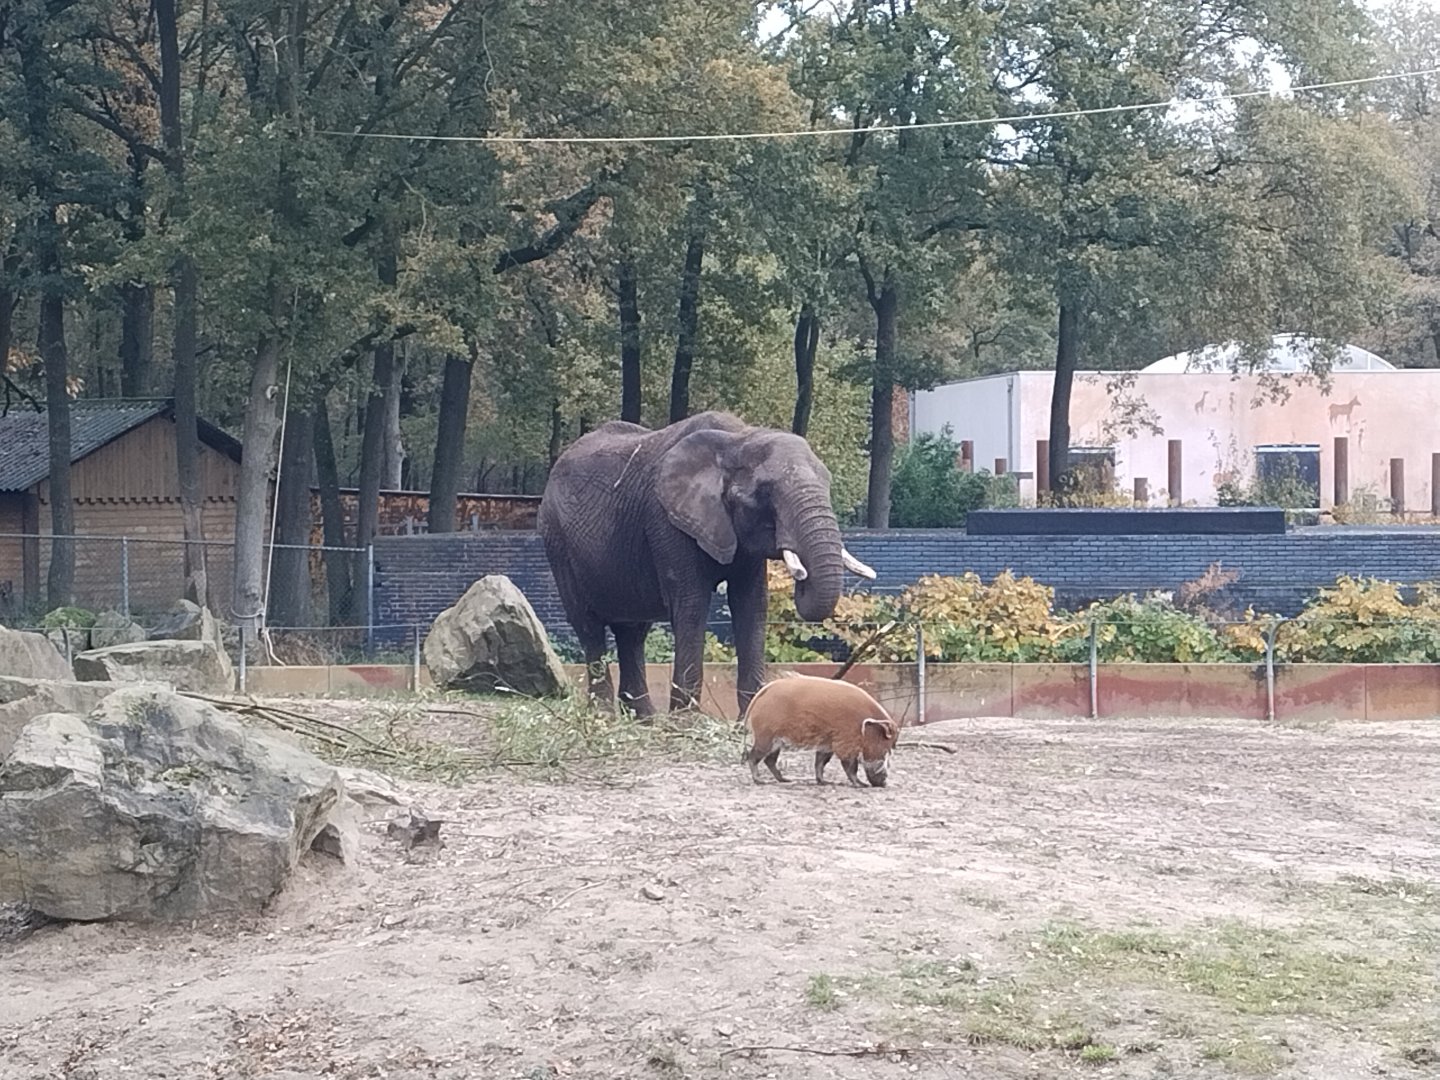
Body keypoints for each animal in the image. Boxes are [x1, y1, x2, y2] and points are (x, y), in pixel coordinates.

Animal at [537, 411, 876, 717]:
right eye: (764, 493)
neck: (740, 437)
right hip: (557, 541)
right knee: (589, 626)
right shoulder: (667, 520)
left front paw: (747, 720)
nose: (801, 571)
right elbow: (691, 605)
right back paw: (604, 716)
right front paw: (687, 723)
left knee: (633, 632)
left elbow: (751, 605)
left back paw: (644, 718)